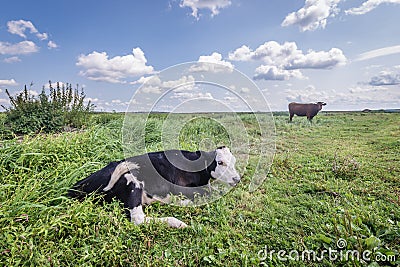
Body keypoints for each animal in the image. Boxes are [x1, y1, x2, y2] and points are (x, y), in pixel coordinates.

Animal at [68, 148, 241, 229]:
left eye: (234, 161)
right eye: (220, 162)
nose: (237, 179)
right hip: (132, 181)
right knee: (138, 219)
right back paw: (177, 222)